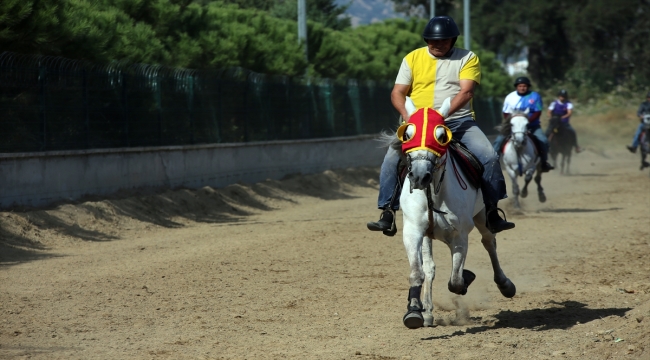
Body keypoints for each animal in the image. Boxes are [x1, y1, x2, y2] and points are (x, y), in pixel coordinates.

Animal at [382, 98, 512, 330]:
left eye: (441, 136)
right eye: (408, 134)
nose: (419, 176)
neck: (434, 193)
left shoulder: (460, 235)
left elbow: (456, 280)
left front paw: (467, 277)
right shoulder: (415, 231)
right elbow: (420, 272)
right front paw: (416, 312)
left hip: (483, 217)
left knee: (490, 243)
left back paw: (505, 284)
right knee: (430, 268)